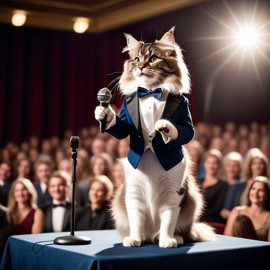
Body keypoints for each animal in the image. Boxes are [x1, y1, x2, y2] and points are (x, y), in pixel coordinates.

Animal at [95, 26, 215, 247]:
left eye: (152, 59)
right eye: (136, 59)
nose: (141, 66)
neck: (150, 92)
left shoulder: (173, 196)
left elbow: (167, 221)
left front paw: (167, 241)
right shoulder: (134, 196)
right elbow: (136, 220)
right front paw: (104, 114)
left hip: (185, 198)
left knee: (180, 230)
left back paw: (172, 238)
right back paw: (143, 237)